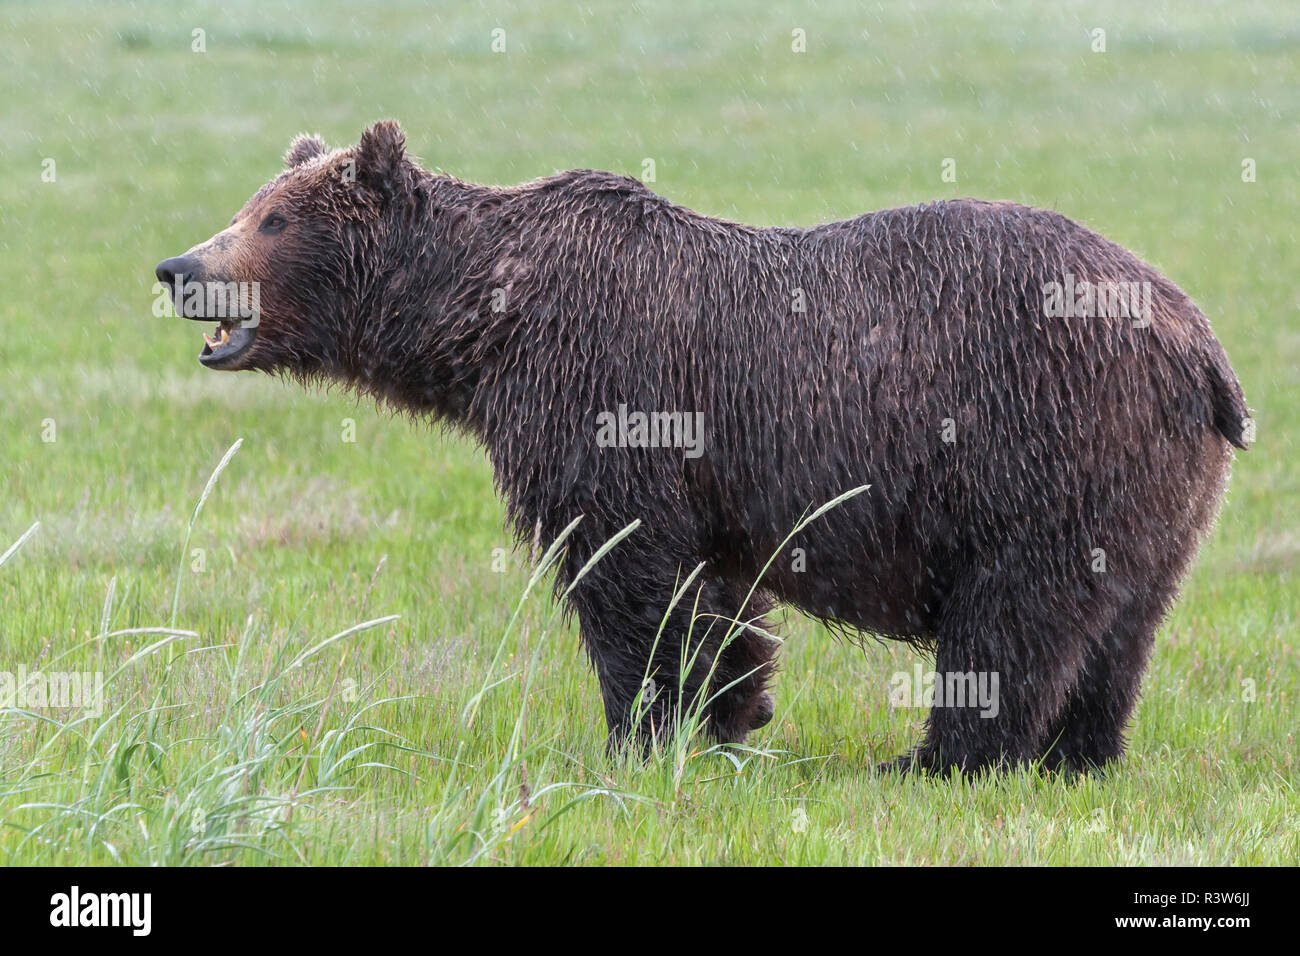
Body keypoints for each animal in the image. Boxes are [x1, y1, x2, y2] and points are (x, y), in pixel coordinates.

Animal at [154, 121, 1248, 780]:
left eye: (271, 218)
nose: (178, 265)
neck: (485, 322)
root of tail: (1200, 342)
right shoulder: (702, 471)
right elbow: (716, 589)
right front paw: (732, 704)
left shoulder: (608, 393)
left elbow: (625, 575)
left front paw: (637, 730)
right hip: (1156, 486)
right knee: (1124, 619)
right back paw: (1081, 751)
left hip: (1042, 438)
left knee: (1013, 614)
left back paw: (938, 757)